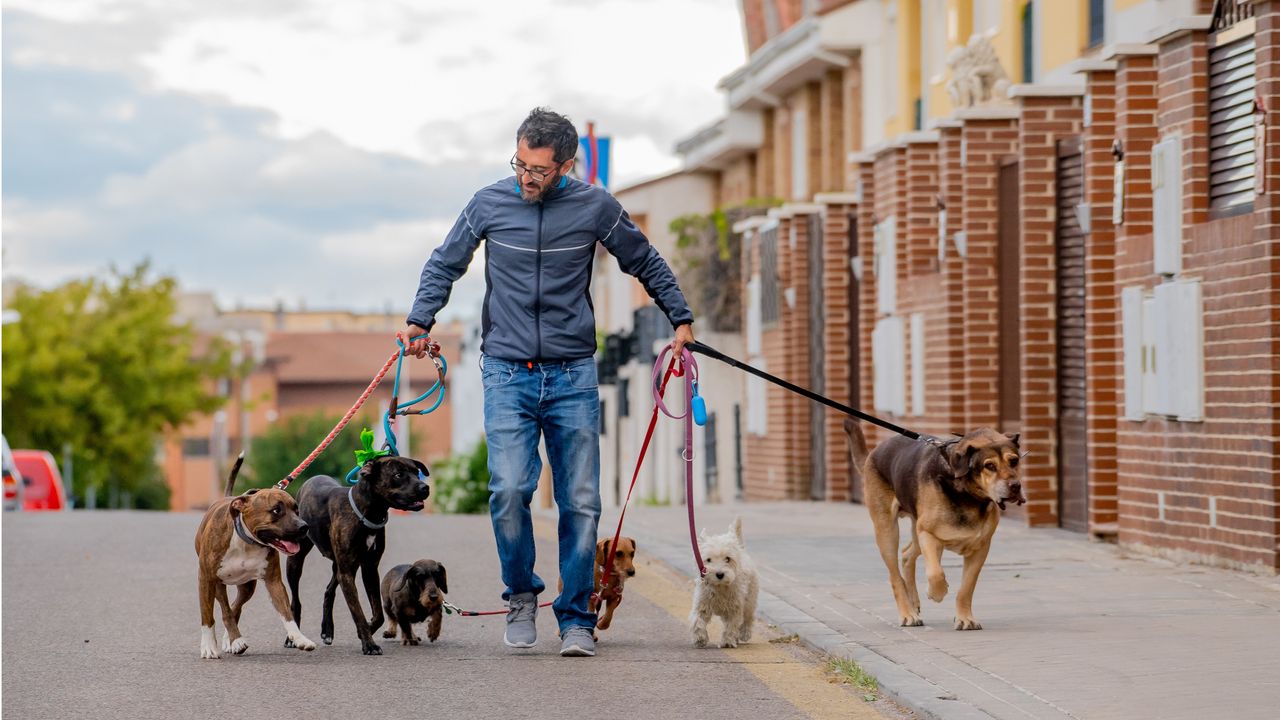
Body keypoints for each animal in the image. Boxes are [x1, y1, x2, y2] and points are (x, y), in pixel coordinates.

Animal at [192, 453, 317, 655]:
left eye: (296, 510)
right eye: (276, 510)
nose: (304, 526)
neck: (246, 541)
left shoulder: (274, 582)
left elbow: (286, 614)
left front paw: (299, 638)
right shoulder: (206, 579)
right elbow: (208, 616)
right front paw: (209, 646)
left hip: (247, 587)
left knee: (235, 607)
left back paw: (231, 640)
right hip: (217, 584)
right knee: (226, 609)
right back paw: (234, 639)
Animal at [285, 456, 430, 653]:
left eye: (416, 472)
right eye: (398, 475)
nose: (425, 487)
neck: (366, 512)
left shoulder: (369, 569)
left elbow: (378, 614)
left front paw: (367, 631)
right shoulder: (348, 573)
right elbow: (358, 613)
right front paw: (369, 644)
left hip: (339, 566)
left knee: (329, 591)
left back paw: (327, 630)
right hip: (296, 561)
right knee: (296, 601)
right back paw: (292, 638)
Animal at [844, 417, 1024, 630]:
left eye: (1014, 461)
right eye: (989, 466)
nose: (1015, 486)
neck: (966, 494)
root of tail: (874, 452)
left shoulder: (980, 548)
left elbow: (966, 588)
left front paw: (965, 618)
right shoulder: (928, 536)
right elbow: (936, 573)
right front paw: (936, 593)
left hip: (916, 527)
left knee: (907, 554)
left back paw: (913, 602)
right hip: (888, 530)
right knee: (895, 575)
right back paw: (908, 613)